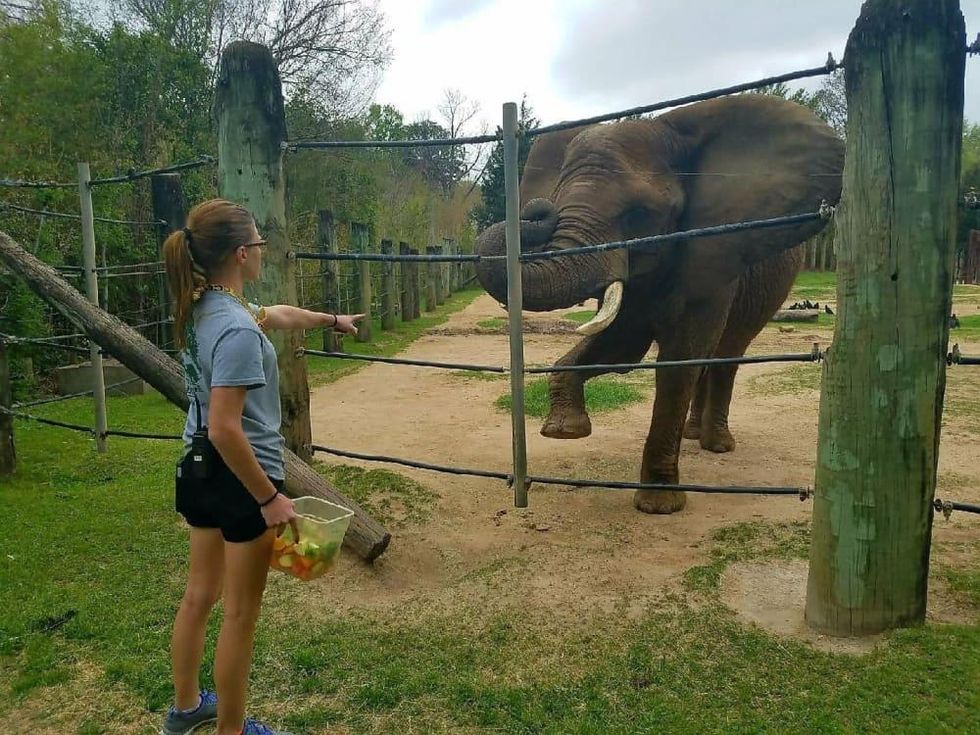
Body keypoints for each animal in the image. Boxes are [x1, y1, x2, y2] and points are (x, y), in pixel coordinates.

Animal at [474, 95, 844, 516]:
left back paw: (717, 445)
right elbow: (622, 347)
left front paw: (659, 505)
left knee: (727, 353)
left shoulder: (710, 257)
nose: (537, 210)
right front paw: (565, 430)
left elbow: (678, 360)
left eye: (640, 214)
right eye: (558, 203)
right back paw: (694, 434)